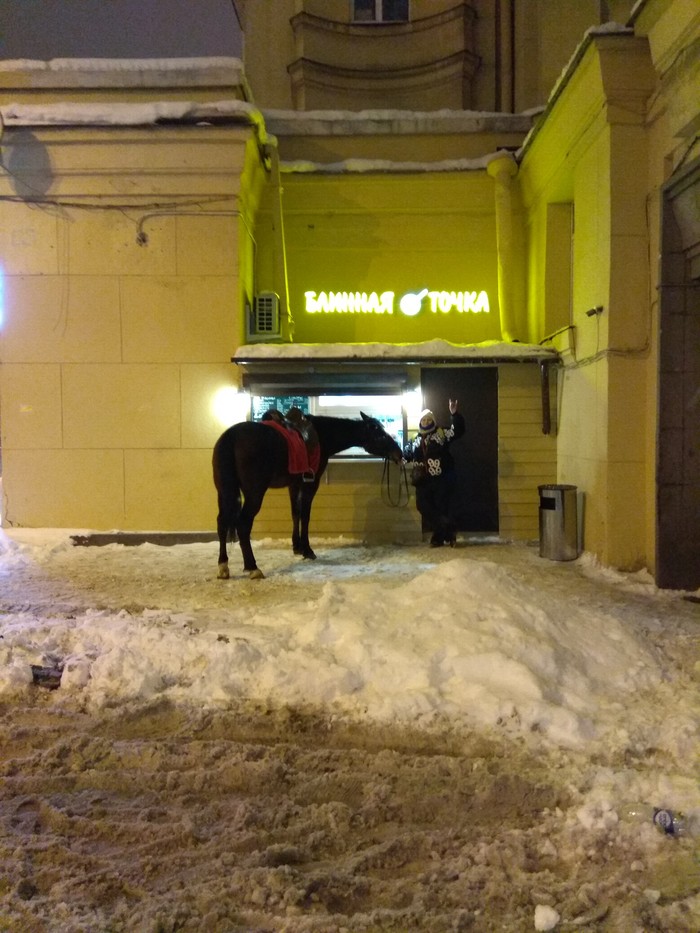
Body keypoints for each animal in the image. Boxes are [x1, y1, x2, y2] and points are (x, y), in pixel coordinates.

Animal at [213, 412, 403, 579]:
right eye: (380, 434)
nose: (399, 453)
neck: (321, 435)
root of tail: (231, 436)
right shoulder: (311, 483)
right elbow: (305, 515)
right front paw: (307, 549)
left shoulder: (294, 484)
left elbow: (295, 513)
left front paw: (296, 547)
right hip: (254, 493)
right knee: (243, 524)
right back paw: (252, 567)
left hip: (224, 492)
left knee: (222, 522)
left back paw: (223, 566)